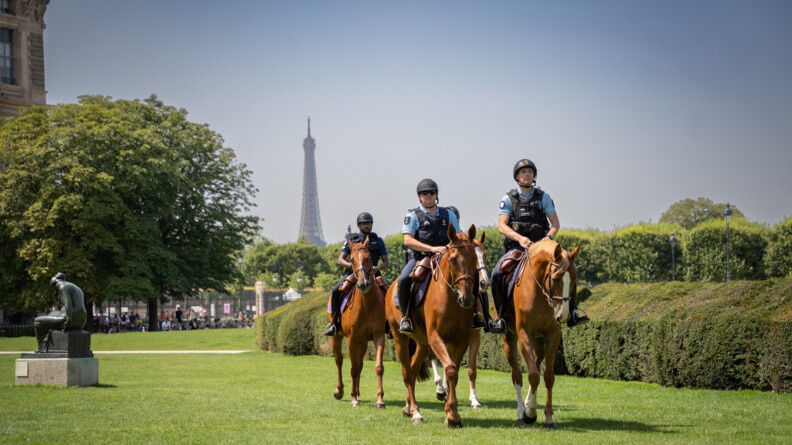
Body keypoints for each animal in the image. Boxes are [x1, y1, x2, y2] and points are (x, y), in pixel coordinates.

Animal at [332, 236, 386, 406]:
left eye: (368, 258)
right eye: (352, 259)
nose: (363, 284)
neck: (366, 304)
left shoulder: (378, 336)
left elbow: (378, 367)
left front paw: (380, 400)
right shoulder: (352, 338)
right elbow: (353, 368)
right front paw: (353, 398)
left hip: (362, 342)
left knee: (360, 364)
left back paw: (358, 393)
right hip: (338, 336)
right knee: (339, 360)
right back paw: (340, 391)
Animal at [386, 224, 480, 424]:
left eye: (475, 259)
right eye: (452, 259)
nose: (467, 298)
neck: (450, 297)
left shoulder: (460, 340)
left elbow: (454, 372)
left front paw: (452, 414)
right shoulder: (437, 337)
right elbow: (450, 370)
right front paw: (452, 415)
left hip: (422, 343)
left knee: (413, 371)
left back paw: (407, 407)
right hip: (400, 338)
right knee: (407, 373)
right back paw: (415, 412)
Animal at [434, 231, 488, 408]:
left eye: (483, 255)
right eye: (475, 258)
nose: (484, 282)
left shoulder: (473, 336)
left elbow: (471, 370)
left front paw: (474, 400)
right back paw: (440, 387)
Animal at [504, 239, 580, 426]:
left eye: (573, 279)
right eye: (556, 279)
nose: (563, 316)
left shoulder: (552, 336)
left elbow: (548, 377)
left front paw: (548, 417)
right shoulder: (524, 335)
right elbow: (532, 376)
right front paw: (529, 413)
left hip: (539, 341)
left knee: (537, 364)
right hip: (510, 338)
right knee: (517, 375)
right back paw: (521, 413)